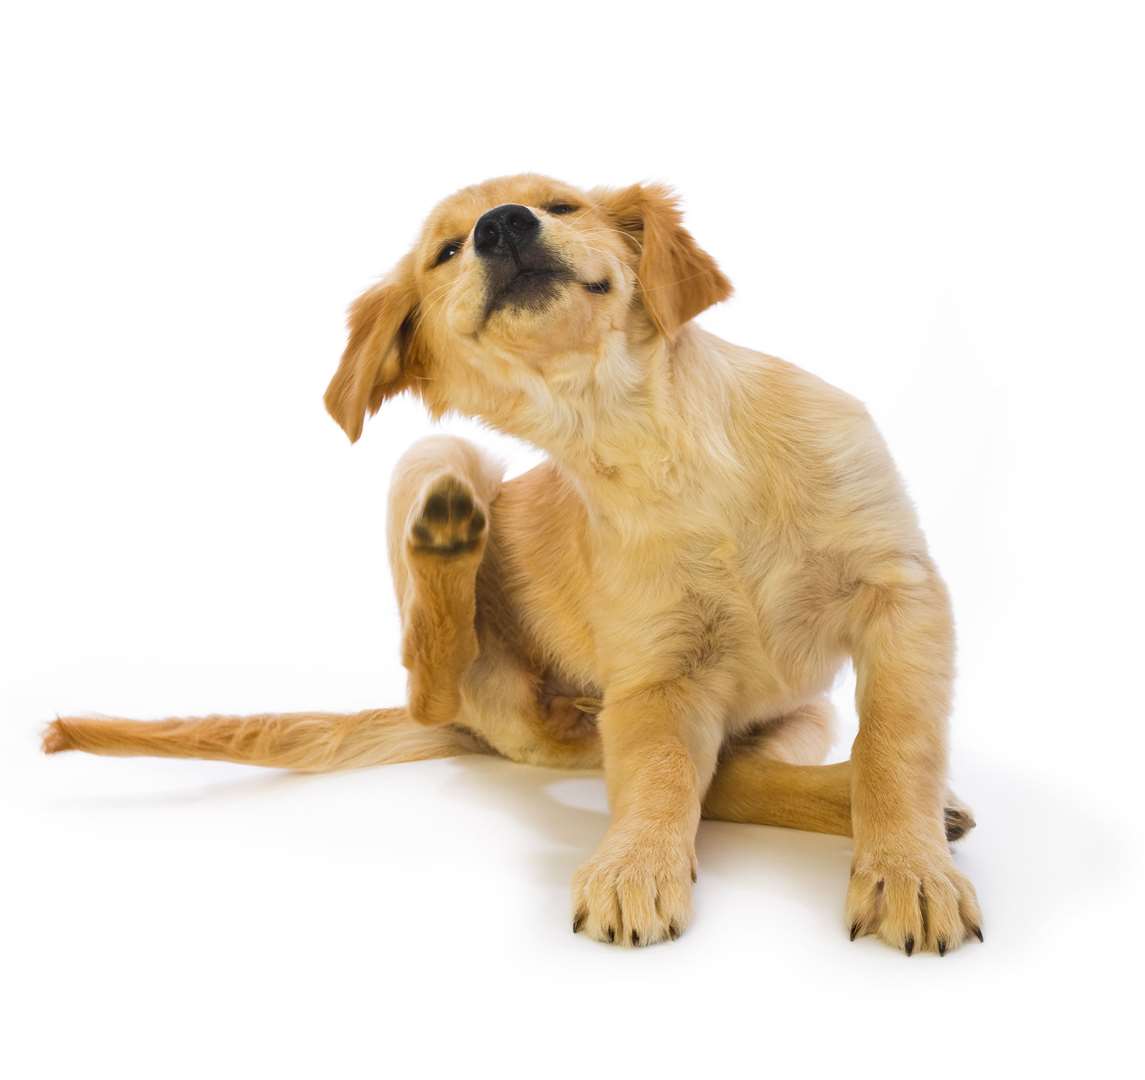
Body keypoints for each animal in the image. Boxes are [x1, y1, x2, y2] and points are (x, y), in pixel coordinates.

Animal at [42, 175, 975, 952]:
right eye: (446, 251)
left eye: (562, 204)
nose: (501, 224)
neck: (655, 442)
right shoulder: (655, 676)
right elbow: (660, 775)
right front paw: (636, 866)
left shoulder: (902, 595)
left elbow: (895, 745)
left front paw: (908, 872)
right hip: (435, 468)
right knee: (437, 671)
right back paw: (450, 539)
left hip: (798, 713)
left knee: (736, 772)